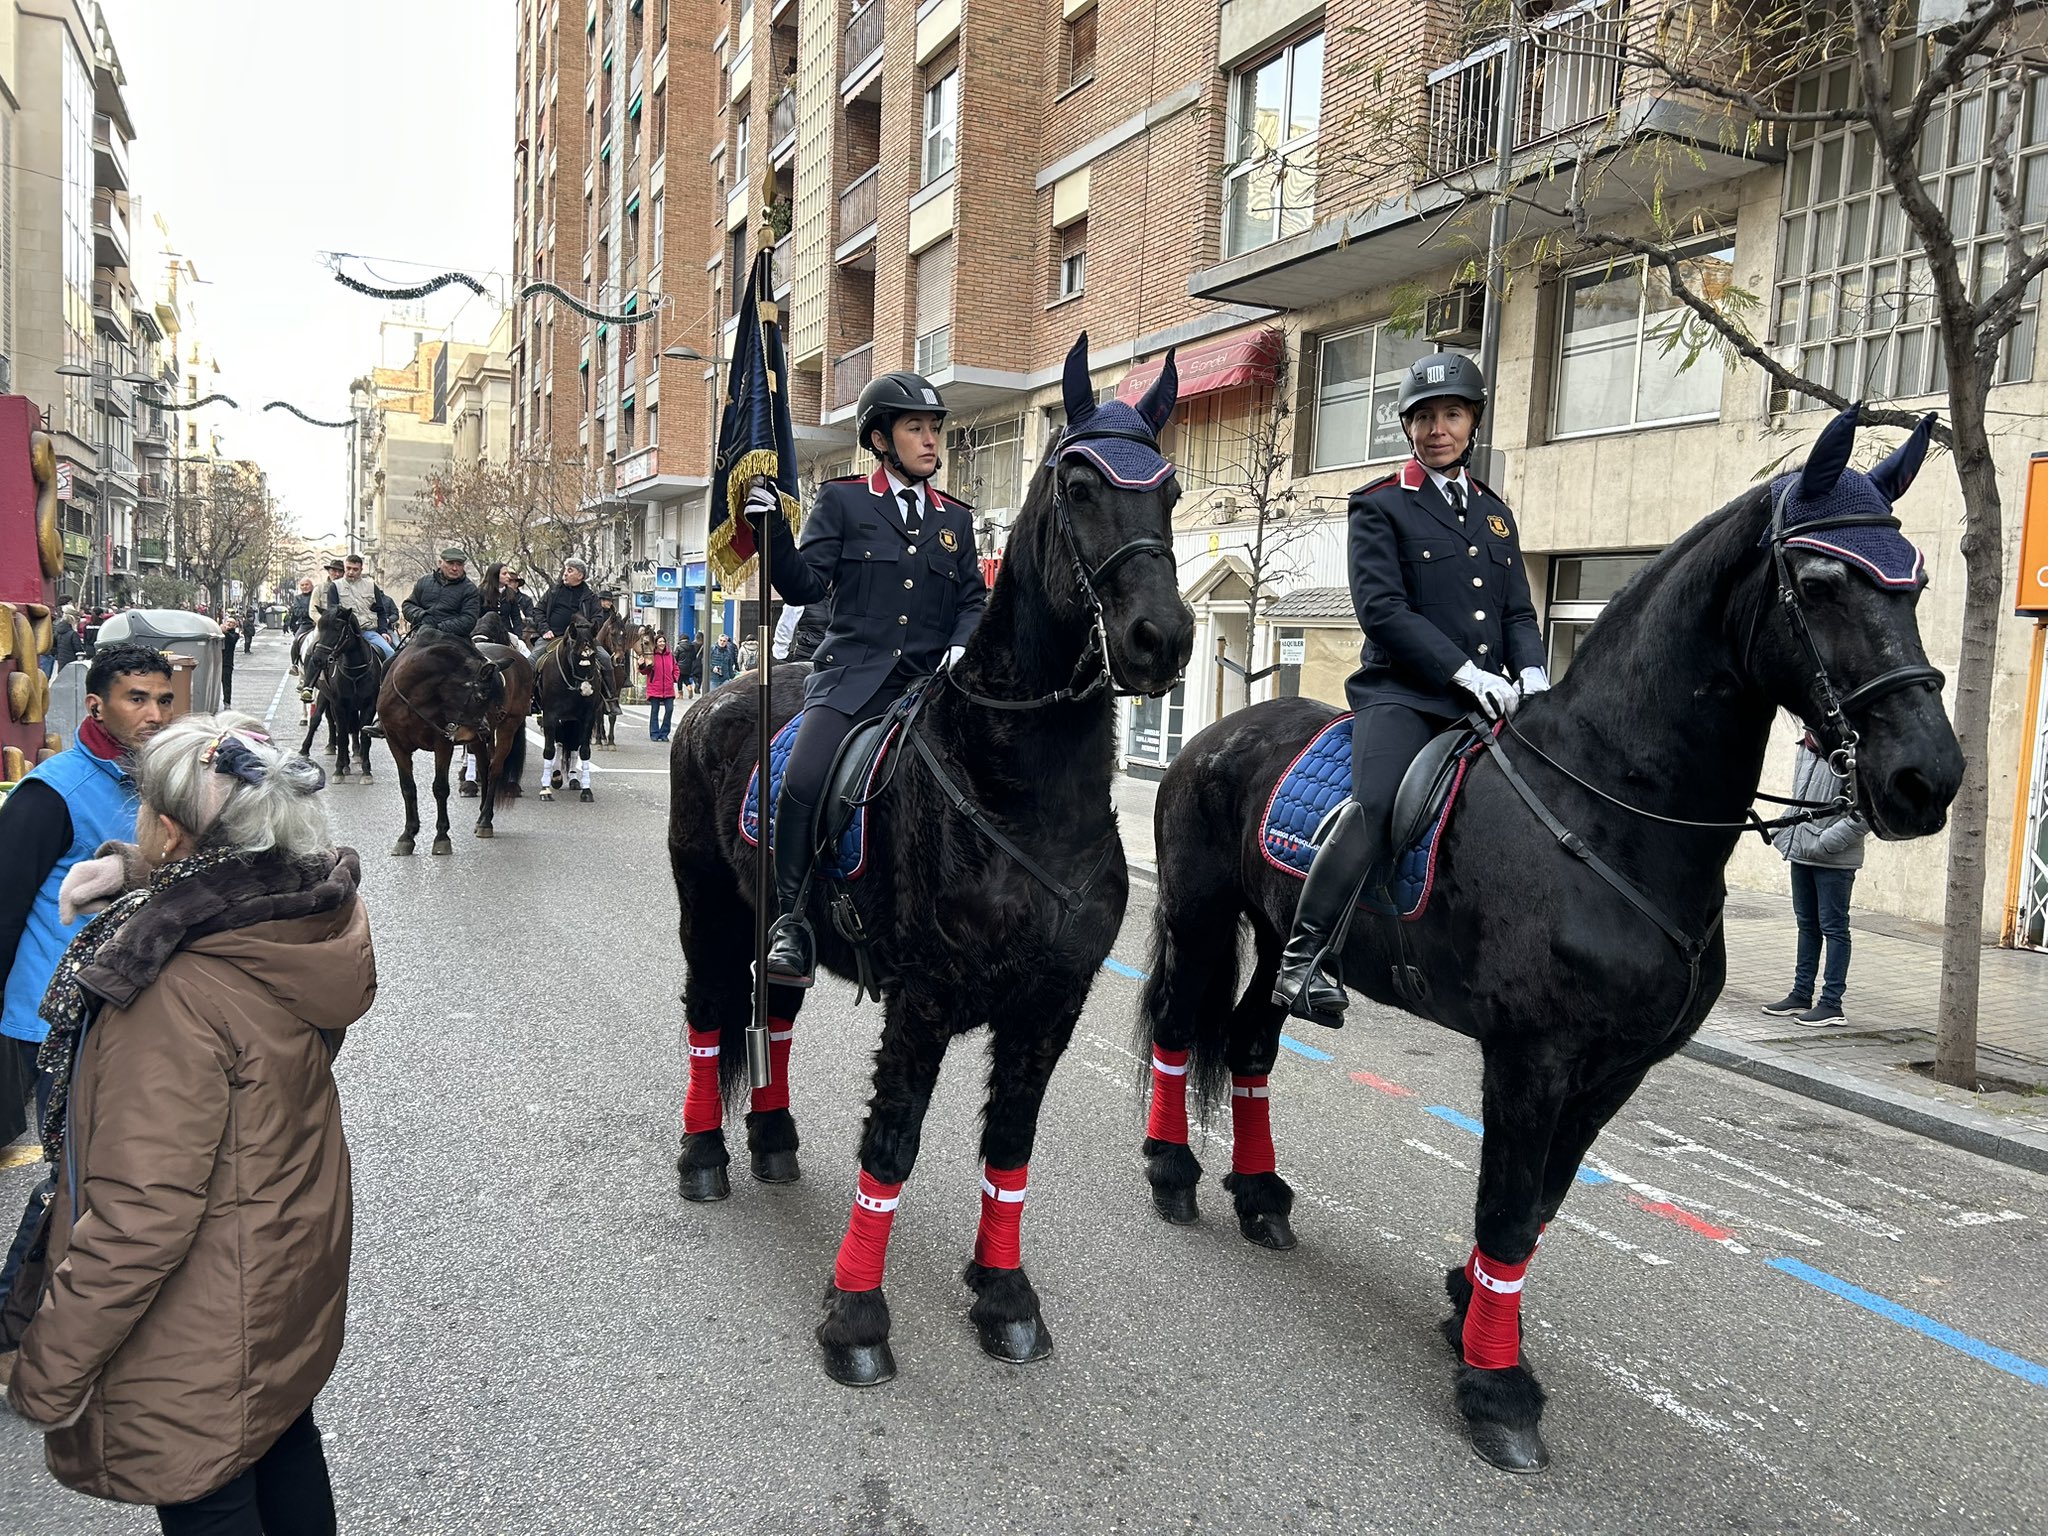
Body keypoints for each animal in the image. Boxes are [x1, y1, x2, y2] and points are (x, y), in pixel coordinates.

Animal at [299, 606, 387, 782]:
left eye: (338, 627)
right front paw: (339, 770)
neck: (355, 672)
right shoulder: (339, 704)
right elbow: (342, 735)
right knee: (321, 720)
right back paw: (308, 750)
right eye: (320, 626)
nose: (318, 659)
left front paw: (366, 771)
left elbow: (363, 734)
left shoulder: (369, 705)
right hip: (325, 696)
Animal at [376, 630, 536, 860]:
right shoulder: (396, 743)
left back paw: (485, 820)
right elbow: (408, 788)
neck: (414, 698)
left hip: (507, 727)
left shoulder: (443, 743)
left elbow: (440, 788)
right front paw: (407, 835)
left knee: (495, 769)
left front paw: (442, 837)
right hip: (477, 742)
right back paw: (481, 814)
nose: (484, 729)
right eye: (481, 695)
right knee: (484, 767)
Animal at [532, 614, 602, 806]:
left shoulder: (586, 718)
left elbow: (584, 751)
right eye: (576, 654)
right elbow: (549, 750)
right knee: (560, 743)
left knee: (570, 744)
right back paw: (555, 777)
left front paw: (586, 790)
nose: (587, 690)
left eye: (594, 655)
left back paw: (572, 778)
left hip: (572, 720)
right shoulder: (550, 716)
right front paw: (545, 789)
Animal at [667, 335, 1187, 1392]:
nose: (1162, 639)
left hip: (776, 922)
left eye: (1172, 489)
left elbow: (1010, 1150)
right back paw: (706, 1154)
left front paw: (1006, 1297)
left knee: (772, 1018)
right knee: (707, 1018)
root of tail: (717, 693)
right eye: (1079, 483)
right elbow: (893, 1146)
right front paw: (857, 1319)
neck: (1024, 791)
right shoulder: (927, 998)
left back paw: (772, 1140)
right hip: (706, 904)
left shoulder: (1051, 1003)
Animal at [1146, 409, 1957, 1482]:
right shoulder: (1533, 1056)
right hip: (1202, 919)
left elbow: (1536, 1210)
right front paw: (1498, 1392)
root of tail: (1215, 731)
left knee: (1247, 1045)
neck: (1613, 809)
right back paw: (1173, 1179)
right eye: (1822, 582)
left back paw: (1262, 1196)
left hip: (1285, 940)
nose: (1928, 779)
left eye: (1915, 579)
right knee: (1174, 1033)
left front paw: (1470, 1311)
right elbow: (1505, 1201)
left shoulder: (1620, 1066)